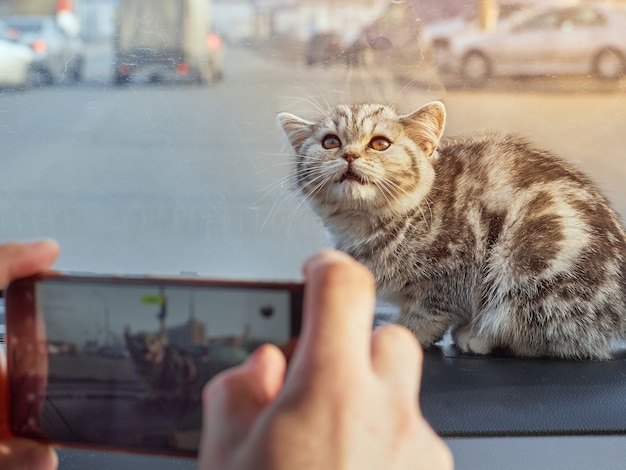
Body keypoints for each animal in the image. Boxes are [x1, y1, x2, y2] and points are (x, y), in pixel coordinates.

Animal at [276, 101, 624, 360]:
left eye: (380, 144)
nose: (349, 154)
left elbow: (427, 314)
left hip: (531, 261)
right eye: (330, 142)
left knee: (550, 334)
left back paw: (480, 336)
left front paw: (400, 334)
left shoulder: (452, 268)